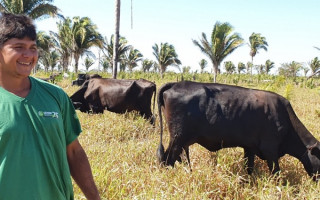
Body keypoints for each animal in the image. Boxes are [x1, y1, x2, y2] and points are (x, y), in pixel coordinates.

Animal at [158, 81, 320, 180]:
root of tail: (177, 83)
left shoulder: (250, 148)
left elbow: (249, 168)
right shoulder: (270, 150)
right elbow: (276, 173)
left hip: (183, 141)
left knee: (182, 158)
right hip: (177, 139)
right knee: (167, 159)